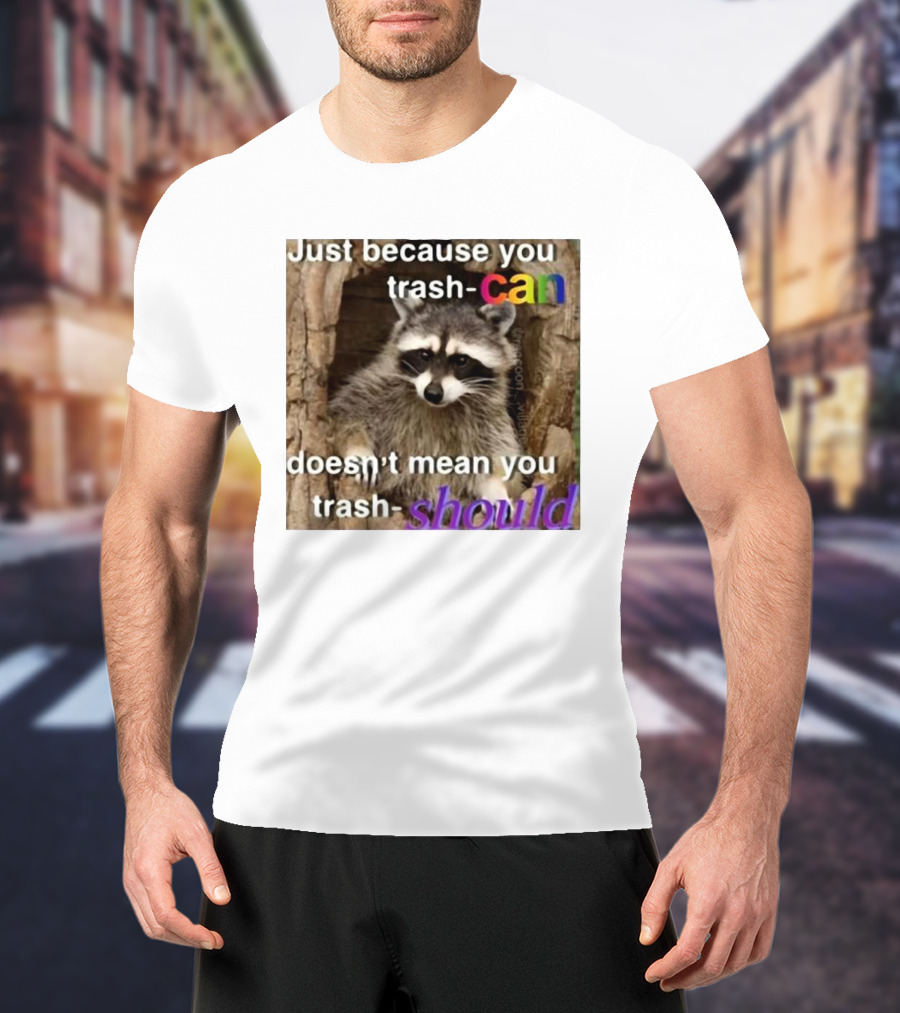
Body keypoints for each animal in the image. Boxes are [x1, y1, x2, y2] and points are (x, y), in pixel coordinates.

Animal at [328, 294, 526, 511]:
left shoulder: (488, 417)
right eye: (424, 355)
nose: (432, 393)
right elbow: (347, 412)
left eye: (461, 360)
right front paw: (359, 450)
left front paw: (496, 488)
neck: (437, 406)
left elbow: (493, 456)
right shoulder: (379, 383)